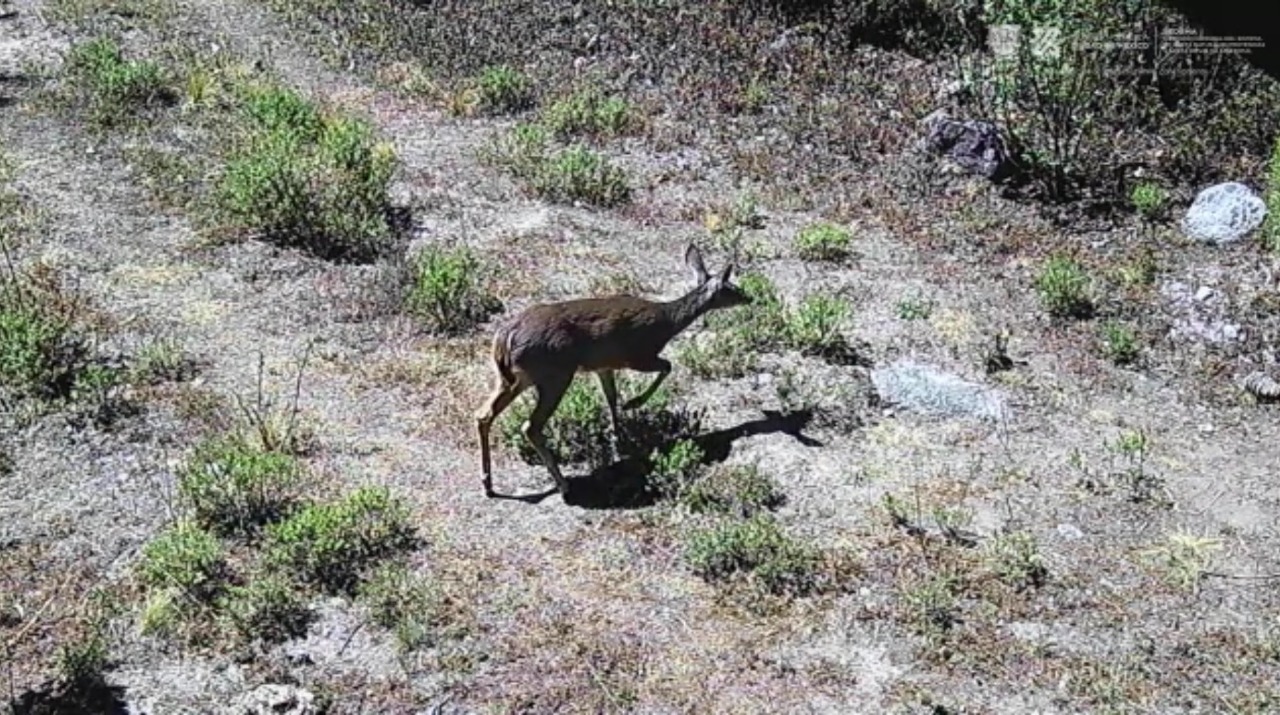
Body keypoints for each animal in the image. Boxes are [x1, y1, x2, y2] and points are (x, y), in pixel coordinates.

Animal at [476, 244, 747, 498]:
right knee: (530, 426)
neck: (667, 322)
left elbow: (611, 398)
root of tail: (505, 338)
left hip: (513, 378)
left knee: (483, 415)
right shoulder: (638, 355)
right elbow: (667, 366)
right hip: (554, 374)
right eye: (732, 288)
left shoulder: (604, 365)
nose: (750, 297)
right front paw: (634, 403)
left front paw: (618, 439)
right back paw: (563, 484)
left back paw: (488, 484)